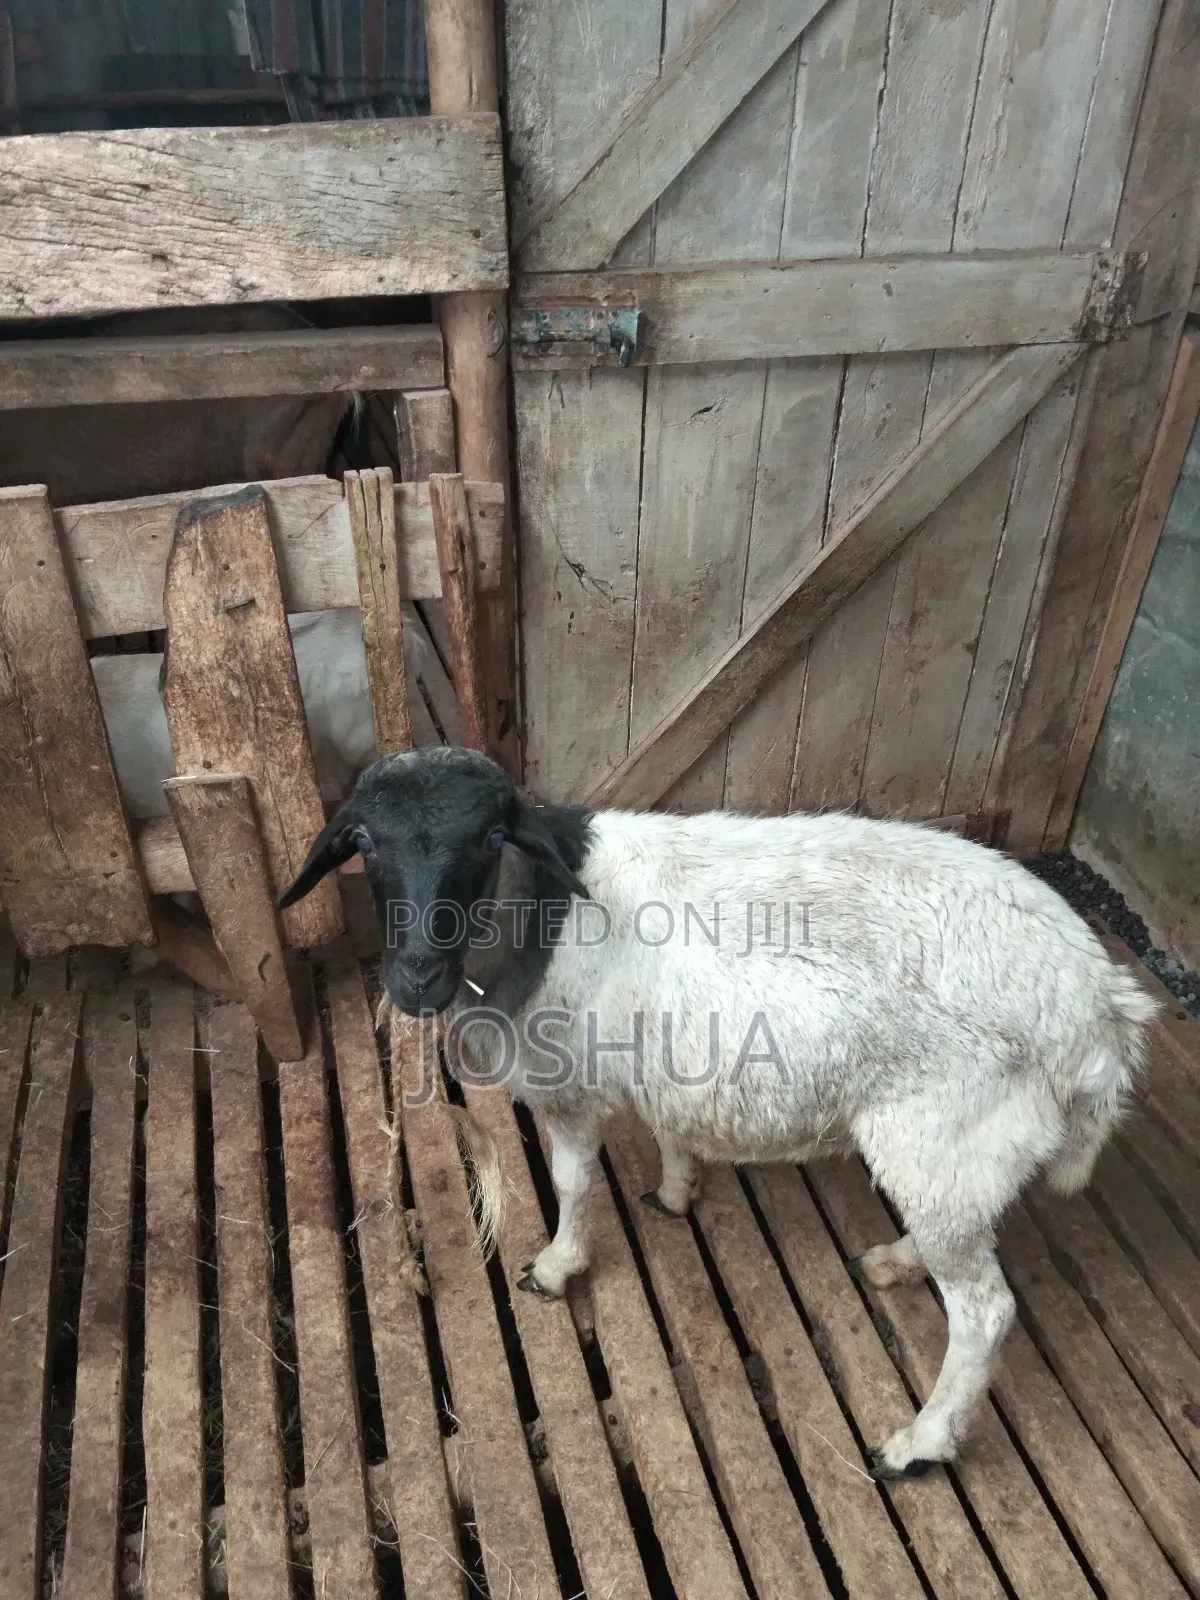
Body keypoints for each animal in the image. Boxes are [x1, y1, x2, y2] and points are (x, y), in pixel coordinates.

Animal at [278, 744, 1157, 1480]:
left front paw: (558, 1267)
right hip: (963, 1158)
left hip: (943, 1131)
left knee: (984, 1312)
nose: (416, 978)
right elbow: (670, 1127)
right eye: (364, 843)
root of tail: (1104, 1010)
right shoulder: (667, 1058)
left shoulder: (568, 1086)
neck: (534, 918)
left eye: (492, 837)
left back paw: (918, 1443)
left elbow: (571, 1185)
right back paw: (897, 1262)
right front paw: (676, 1190)